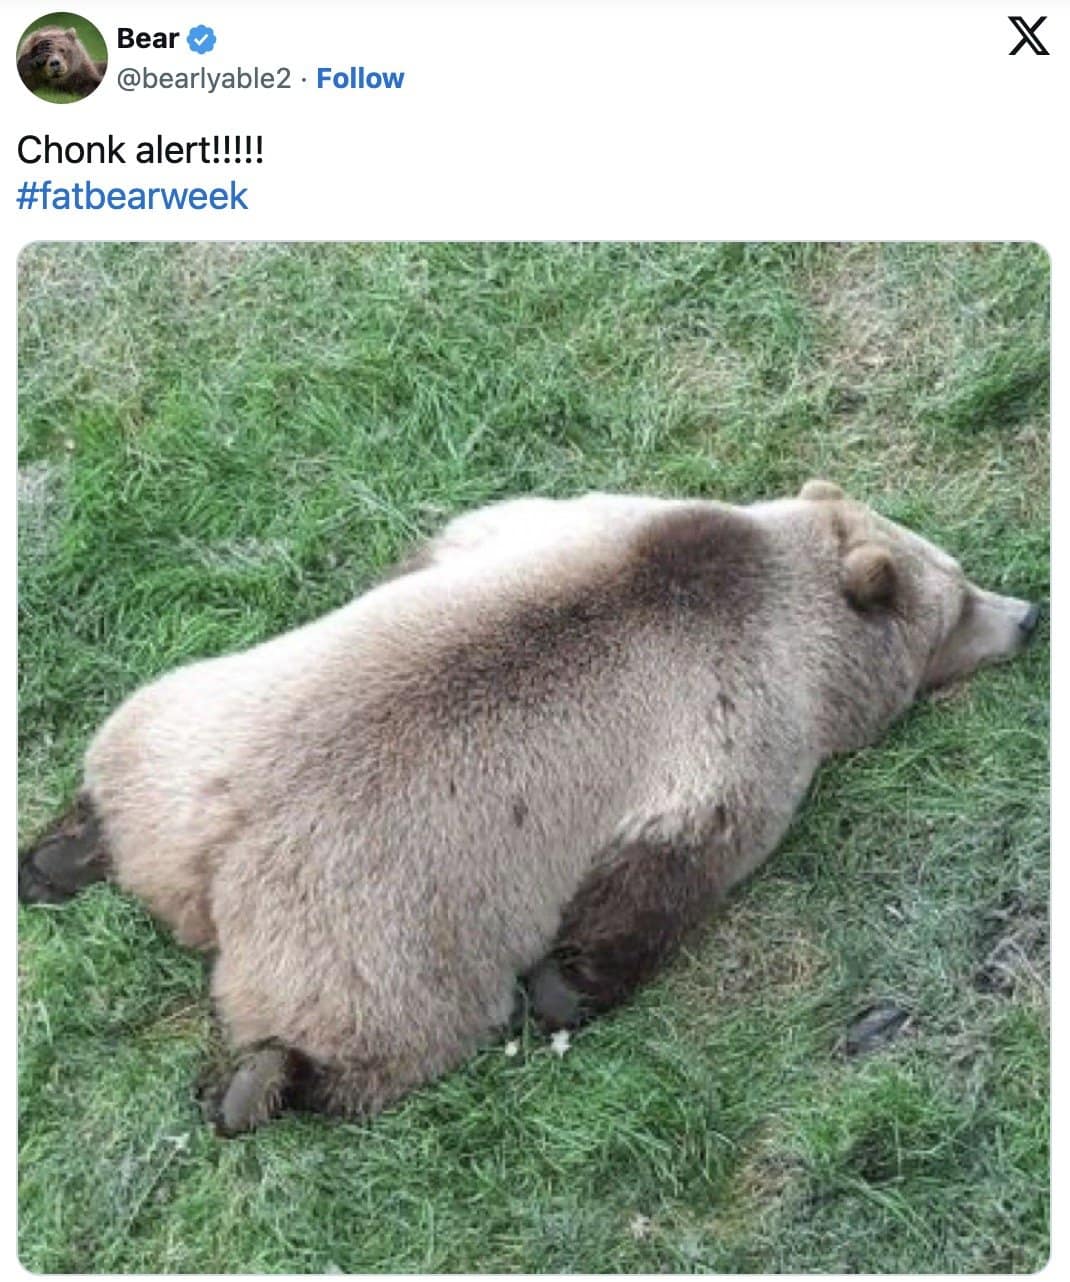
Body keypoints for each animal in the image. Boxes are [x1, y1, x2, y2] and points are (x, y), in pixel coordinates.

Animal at [19, 481, 1042, 1134]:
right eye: (957, 599)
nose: (1029, 614)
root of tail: (209, 876)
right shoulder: (734, 731)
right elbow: (668, 872)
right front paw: (563, 986)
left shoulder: (558, 527)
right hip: (372, 942)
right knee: (375, 1041)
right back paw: (260, 1084)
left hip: (183, 727)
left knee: (117, 777)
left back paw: (51, 860)